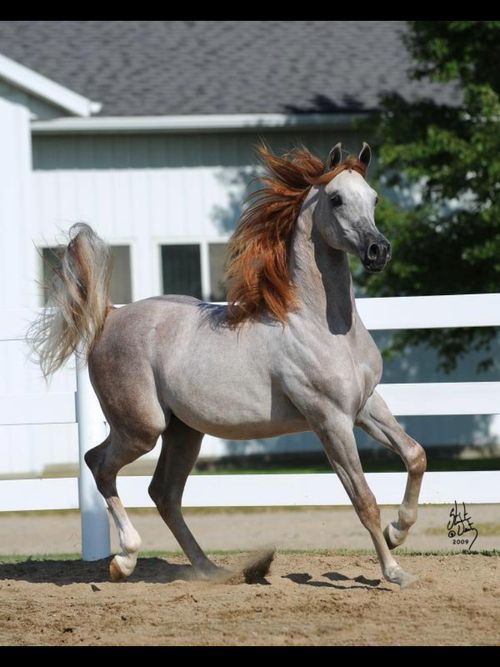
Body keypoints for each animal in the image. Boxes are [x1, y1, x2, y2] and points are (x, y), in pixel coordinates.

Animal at [31, 144, 428, 588]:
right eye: (337, 198)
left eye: (374, 198)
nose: (379, 251)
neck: (321, 325)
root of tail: (108, 316)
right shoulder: (330, 419)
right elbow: (363, 499)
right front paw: (395, 572)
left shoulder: (365, 406)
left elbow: (415, 455)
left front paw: (398, 532)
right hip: (142, 429)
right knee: (99, 465)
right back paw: (125, 560)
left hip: (184, 432)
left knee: (163, 492)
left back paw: (211, 570)